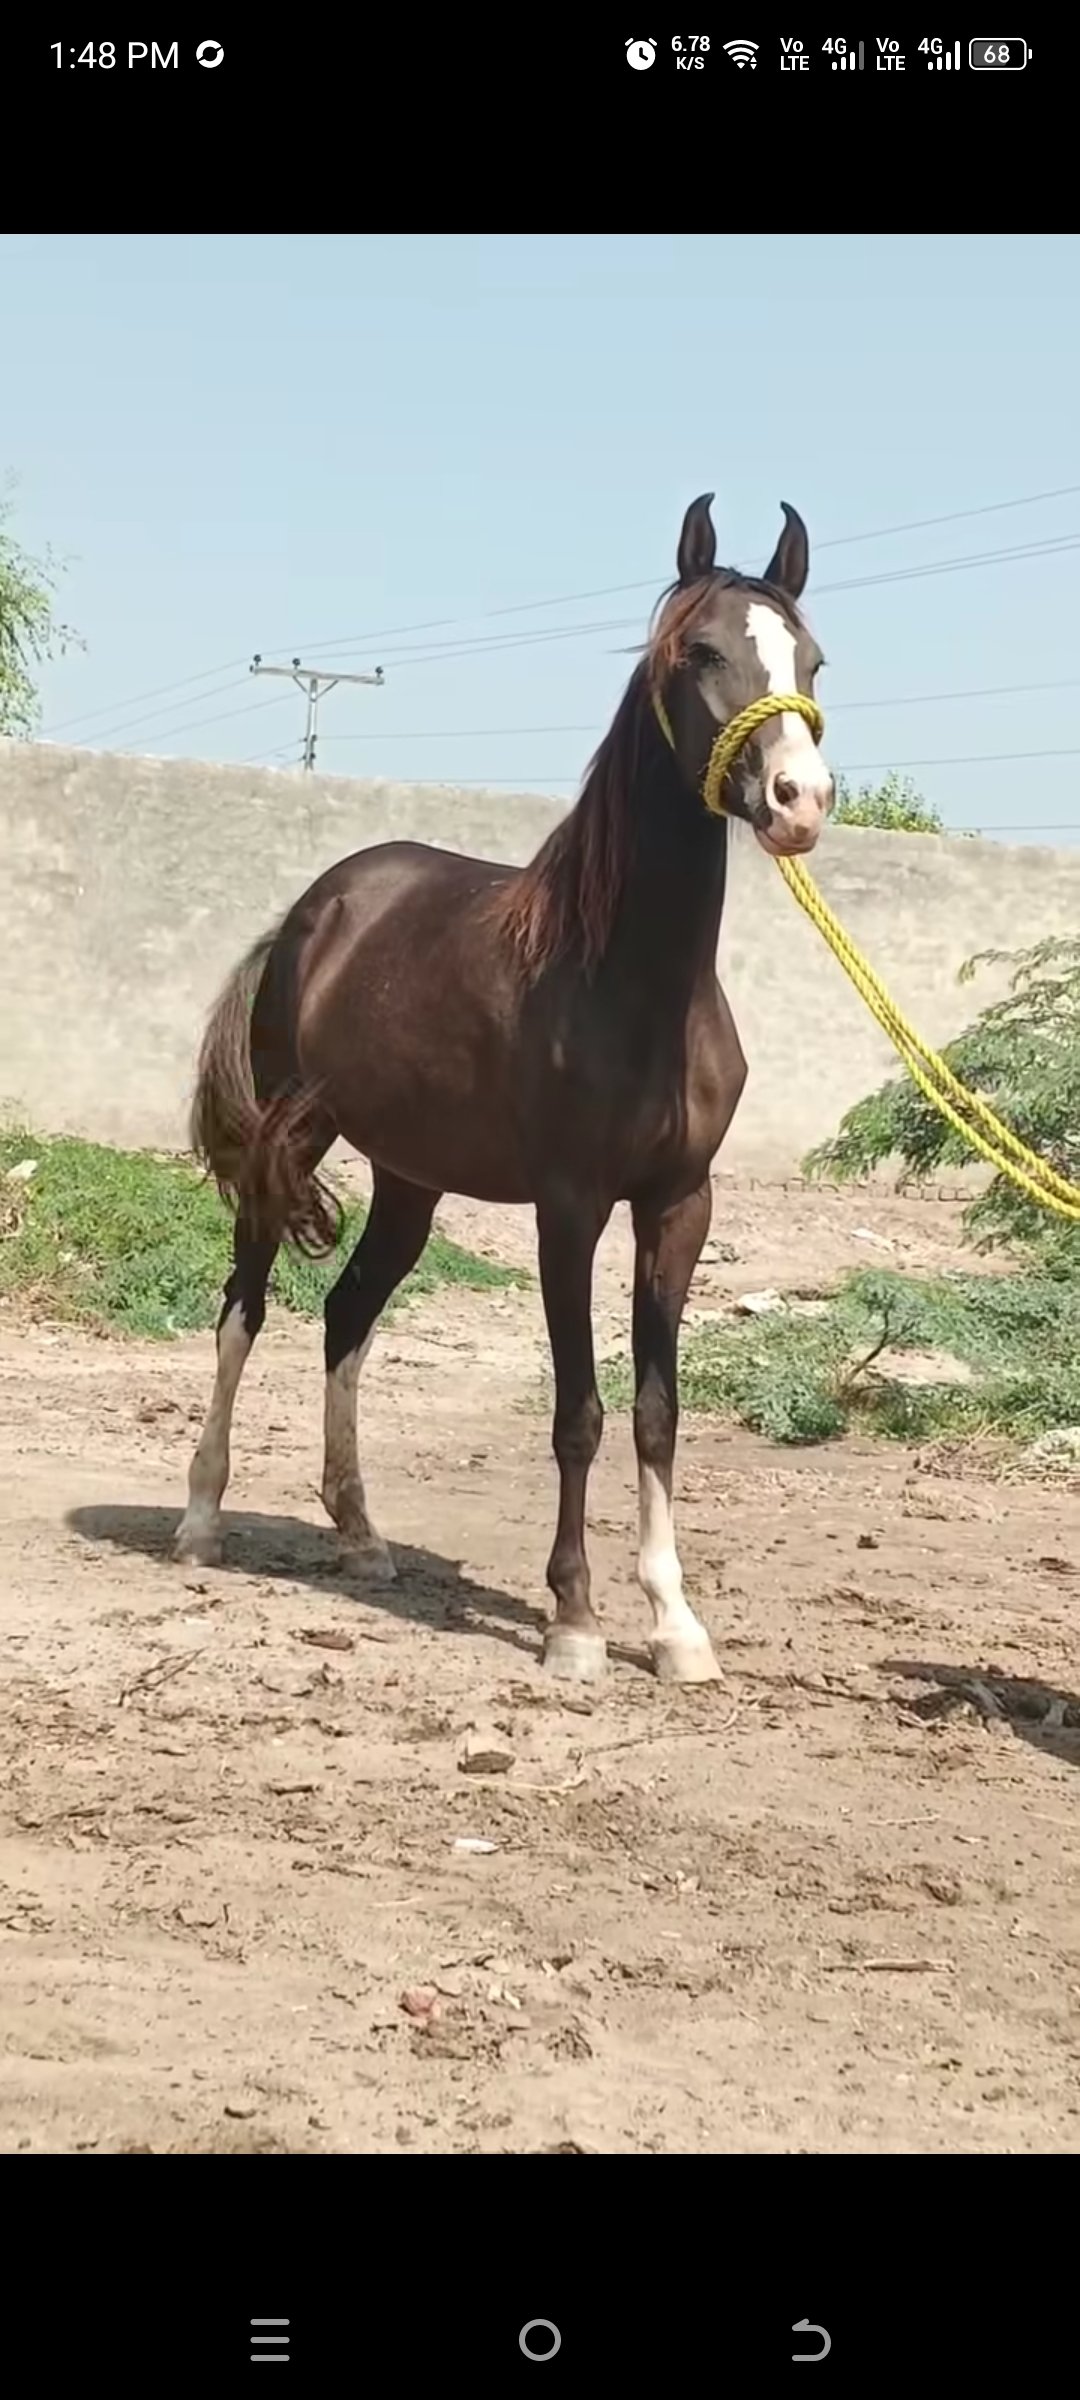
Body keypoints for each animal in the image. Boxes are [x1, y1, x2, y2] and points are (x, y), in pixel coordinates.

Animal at [174, 493, 833, 1686]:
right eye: (701, 652)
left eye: (811, 659)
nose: (799, 801)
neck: (631, 980)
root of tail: (316, 908)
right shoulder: (568, 1209)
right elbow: (579, 1410)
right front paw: (574, 1622)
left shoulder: (680, 1206)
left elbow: (656, 1411)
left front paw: (676, 1626)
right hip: (286, 1156)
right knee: (243, 1310)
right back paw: (199, 1519)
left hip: (409, 1181)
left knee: (345, 1315)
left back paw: (362, 1535)